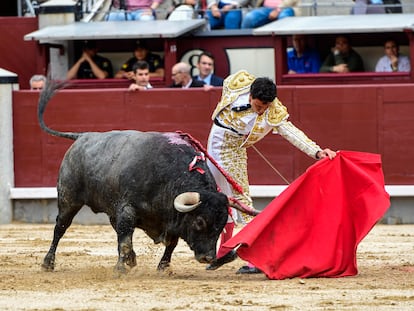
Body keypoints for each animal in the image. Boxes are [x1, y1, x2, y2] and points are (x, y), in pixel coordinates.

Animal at [38, 81, 258, 274]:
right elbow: (125, 239)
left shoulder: (168, 218)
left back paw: (132, 260)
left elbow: (170, 242)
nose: (208, 258)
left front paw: (163, 267)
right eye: (199, 222)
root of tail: (82, 136)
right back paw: (48, 263)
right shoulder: (127, 209)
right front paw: (120, 268)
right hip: (69, 199)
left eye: (221, 226)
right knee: (60, 227)